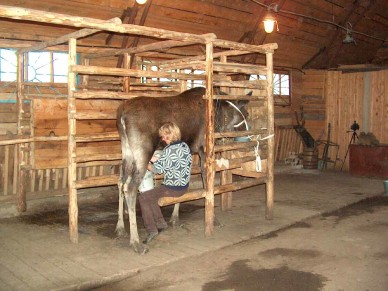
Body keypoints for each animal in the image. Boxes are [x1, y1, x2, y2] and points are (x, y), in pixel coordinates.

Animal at [116, 85, 249, 254]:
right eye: (246, 114)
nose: (247, 136)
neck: (219, 114)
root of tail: (122, 116)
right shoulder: (204, 149)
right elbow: (207, 184)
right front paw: (213, 220)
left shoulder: (190, 150)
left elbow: (185, 181)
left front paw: (174, 217)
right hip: (142, 152)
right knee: (131, 187)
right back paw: (136, 242)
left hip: (127, 151)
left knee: (121, 182)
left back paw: (120, 227)